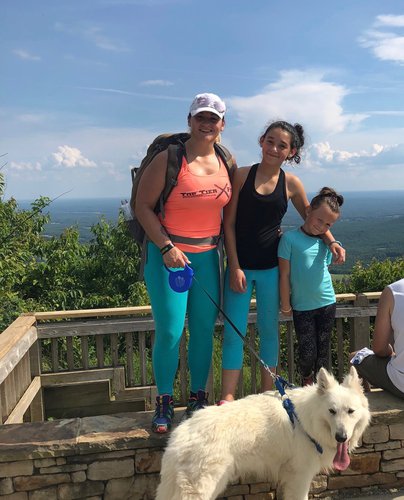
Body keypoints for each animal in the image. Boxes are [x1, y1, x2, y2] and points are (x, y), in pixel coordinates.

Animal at [156, 368, 370, 500]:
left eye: (350, 411)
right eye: (332, 411)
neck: (306, 419)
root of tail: (182, 433)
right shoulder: (300, 476)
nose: (341, 437)